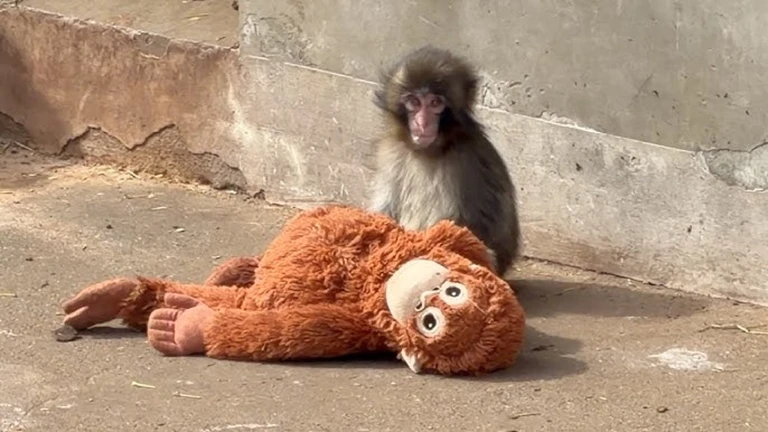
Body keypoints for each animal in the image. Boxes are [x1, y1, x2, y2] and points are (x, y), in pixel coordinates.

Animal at [367, 45, 521, 278]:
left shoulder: (465, 161)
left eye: (435, 103)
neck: (429, 150)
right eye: (414, 102)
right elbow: (384, 213)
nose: (422, 123)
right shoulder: (390, 150)